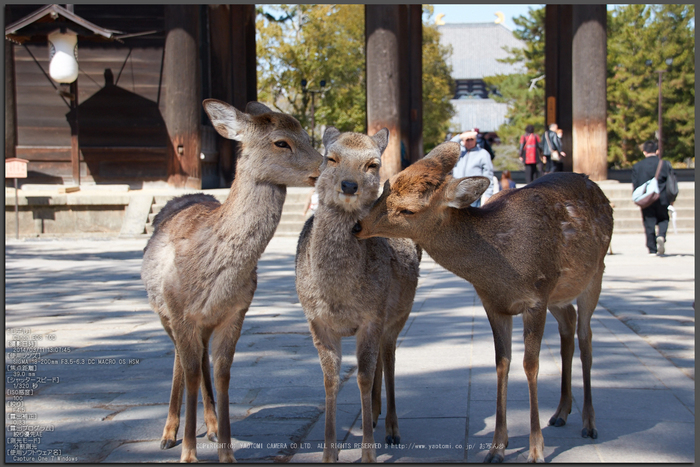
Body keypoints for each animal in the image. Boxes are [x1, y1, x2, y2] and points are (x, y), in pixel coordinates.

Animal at [140, 100, 326, 462]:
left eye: (305, 133)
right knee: (180, 362)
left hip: (202, 324)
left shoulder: (237, 312)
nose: (325, 167)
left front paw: (226, 452)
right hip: (163, 312)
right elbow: (191, 371)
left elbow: (223, 373)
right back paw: (168, 434)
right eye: (281, 142)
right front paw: (188, 453)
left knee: (199, 360)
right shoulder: (180, 312)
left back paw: (210, 428)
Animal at [296, 128, 422, 464]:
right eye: (330, 158)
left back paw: (391, 428)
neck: (338, 296)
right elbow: (330, 379)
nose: (349, 185)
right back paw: (376, 414)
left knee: (389, 358)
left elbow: (363, 377)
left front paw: (368, 454)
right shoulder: (317, 321)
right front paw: (329, 454)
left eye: (372, 164)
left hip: (397, 316)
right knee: (379, 361)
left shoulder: (372, 316)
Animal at [356, 143, 612, 464]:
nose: (357, 225)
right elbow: (502, 363)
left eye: (408, 210)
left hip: (594, 275)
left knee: (586, 336)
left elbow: (530, 365)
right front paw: (496, 448)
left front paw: (536, 450)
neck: (500, 270)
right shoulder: (493, 303)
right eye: (386, 187)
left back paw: (589, 423)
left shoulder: (537, 297)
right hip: (559, 293)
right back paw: (561, 413)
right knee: (569, 325)